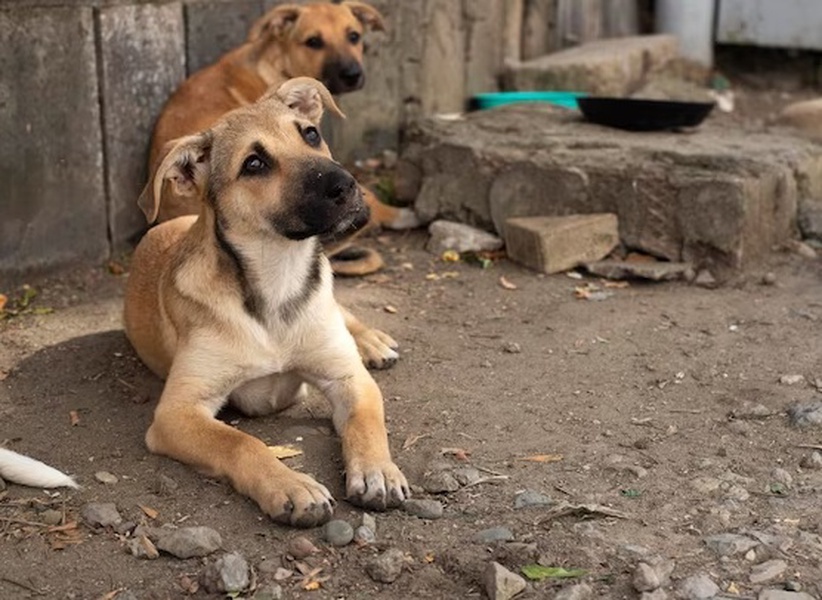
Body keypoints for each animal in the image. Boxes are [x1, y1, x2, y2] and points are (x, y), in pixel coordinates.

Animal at [124, 78, 412, 524]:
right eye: (254, 164)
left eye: (310, 134)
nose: (347, 186)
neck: (278, 278)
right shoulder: (177, 412)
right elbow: (240, 442)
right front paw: (290, 485)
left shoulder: (350, 378)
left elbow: (367, 423)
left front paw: (378, 469)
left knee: (343, 311)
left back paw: (372, 340)